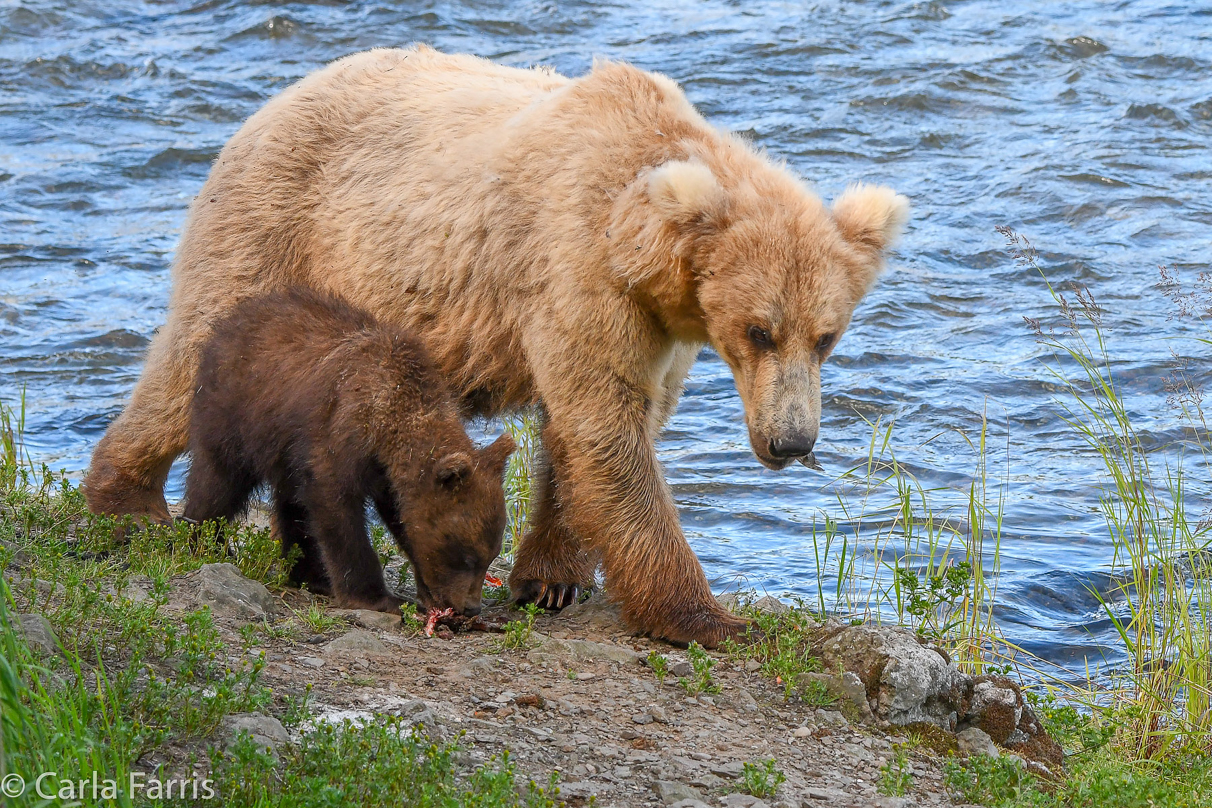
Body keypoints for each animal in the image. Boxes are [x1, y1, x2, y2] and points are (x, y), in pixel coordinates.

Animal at [85, 47, 906, 649]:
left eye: (827, 336)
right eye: (759, 330)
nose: (792, 442)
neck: (640, 246)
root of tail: (267, 105)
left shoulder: (655, 330)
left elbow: (587, 438)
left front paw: (549, 578)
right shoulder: (576, 268)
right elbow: (609, 434)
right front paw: (708, 616)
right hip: (277, 226)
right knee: (189, 354)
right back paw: (128, 499)